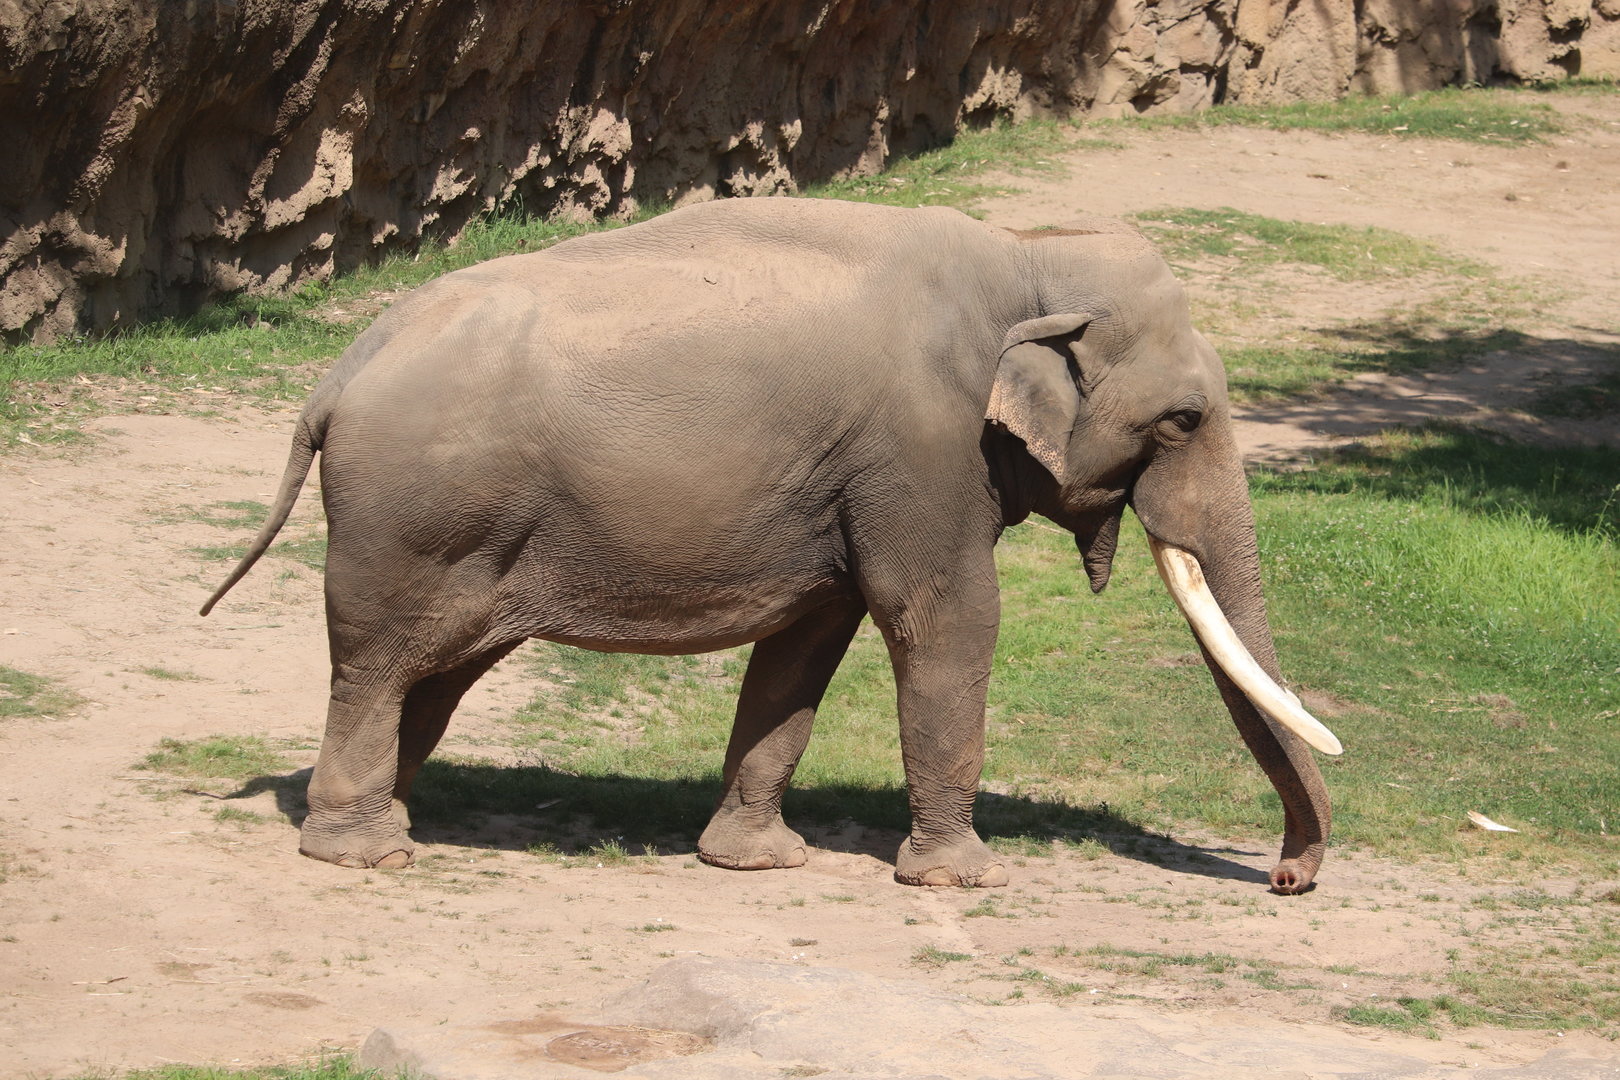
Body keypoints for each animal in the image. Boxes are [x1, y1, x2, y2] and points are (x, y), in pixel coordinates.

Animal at [202, 197, 1342, 893]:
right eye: (1184, 420)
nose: (1287, 877)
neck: (1027, 251)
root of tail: (337, 374)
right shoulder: (922, 449)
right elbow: (947, 620)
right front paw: (963, 877)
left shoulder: (847, 483)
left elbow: (809, 640)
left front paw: (756, 861)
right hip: (415, 519)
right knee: (380, 665)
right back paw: (363, 853)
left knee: (433, 676)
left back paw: (391, 821)